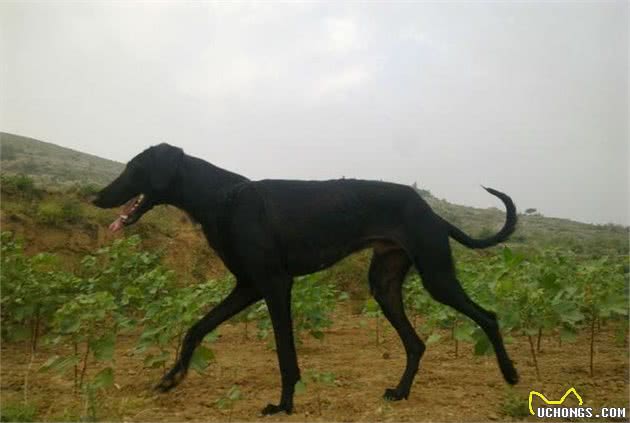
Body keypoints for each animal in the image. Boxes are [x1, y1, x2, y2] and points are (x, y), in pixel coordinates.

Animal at [92, 144, 520, 416]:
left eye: (133, 167)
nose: (96, 198)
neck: (223, 197)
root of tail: (431, 212)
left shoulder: (274, 285)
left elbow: (285, 353)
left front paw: (284, 405)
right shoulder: (247, 287)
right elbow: (196, 329)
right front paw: (171, 378)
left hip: (436, 276)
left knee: (488, 316)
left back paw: (511, 374)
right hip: (384, 286)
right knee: (416, 343)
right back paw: (399, 392)